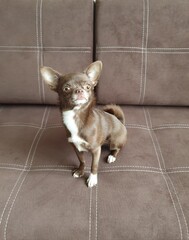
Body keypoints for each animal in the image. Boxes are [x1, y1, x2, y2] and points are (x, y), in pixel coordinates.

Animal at [41, 60, 127, 188]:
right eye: (66, 88)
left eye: (88, 87)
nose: (79, 90)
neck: (76, 115)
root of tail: (120, 121)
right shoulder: (76, 147)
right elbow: (82, 160)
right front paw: (80, 171)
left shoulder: (96, 150)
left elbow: (94, 165)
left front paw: (92, 179)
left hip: (114, 141)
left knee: (117, 149)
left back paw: (112, 156)